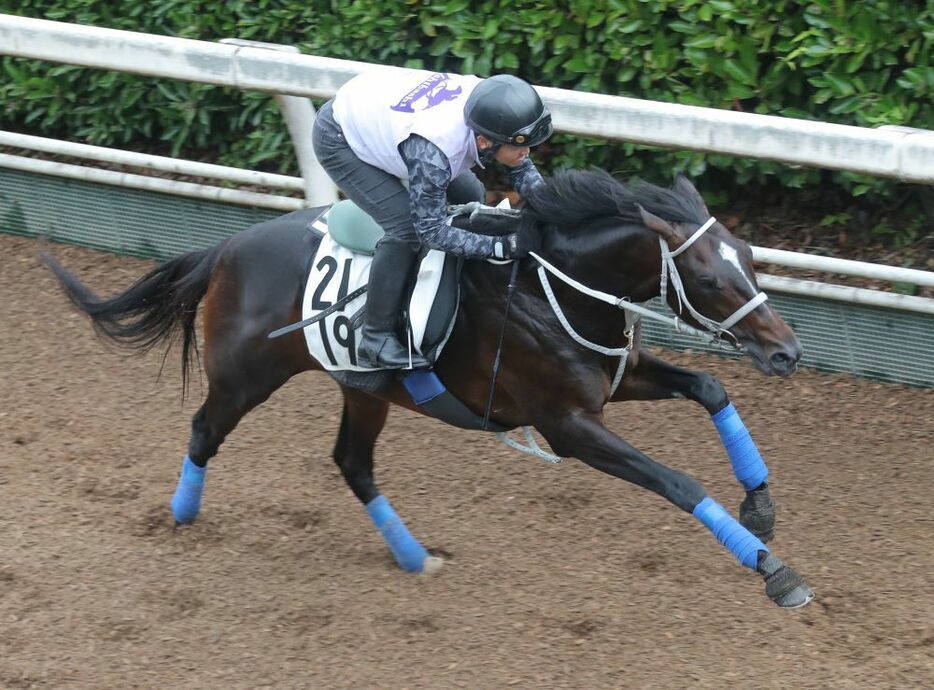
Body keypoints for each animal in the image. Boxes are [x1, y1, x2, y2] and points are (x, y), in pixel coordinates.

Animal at [44, 168, 816, 608]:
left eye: (749, 257)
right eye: (711, 278)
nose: (786, 353)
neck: (549, 286)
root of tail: (228, 247)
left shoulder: (609, 383)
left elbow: (710, 388)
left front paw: (761, 506)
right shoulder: (568, 425)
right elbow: (679, 483)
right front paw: (773, 571)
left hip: (363, 389)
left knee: (352, 463)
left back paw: (415, 557)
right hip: (244, 378)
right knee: (205, 431)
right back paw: (180, 516)